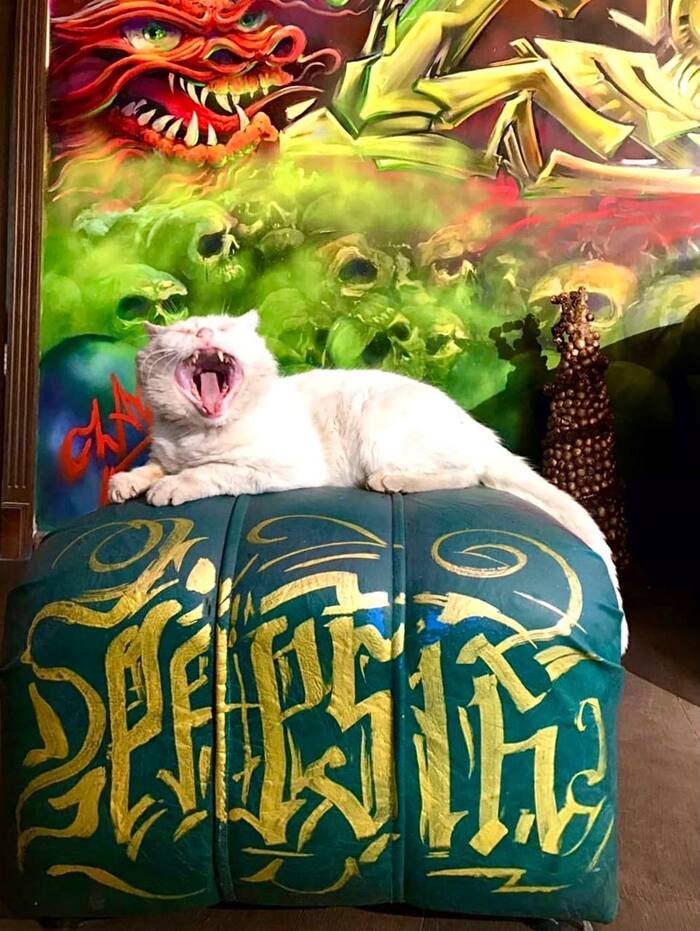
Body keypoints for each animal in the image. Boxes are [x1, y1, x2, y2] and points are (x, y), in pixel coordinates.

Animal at [108, 311, 627, 651]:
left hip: (384, 431)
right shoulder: (165, 451)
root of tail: (475, 428)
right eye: (181, 331)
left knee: (466, 472)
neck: (197, 432)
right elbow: (153, 465)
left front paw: (172, 488)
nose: (202, 332)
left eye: (223, 329)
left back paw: (389, 481)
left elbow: (210, 472)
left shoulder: (278, 468)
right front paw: (127, 482)